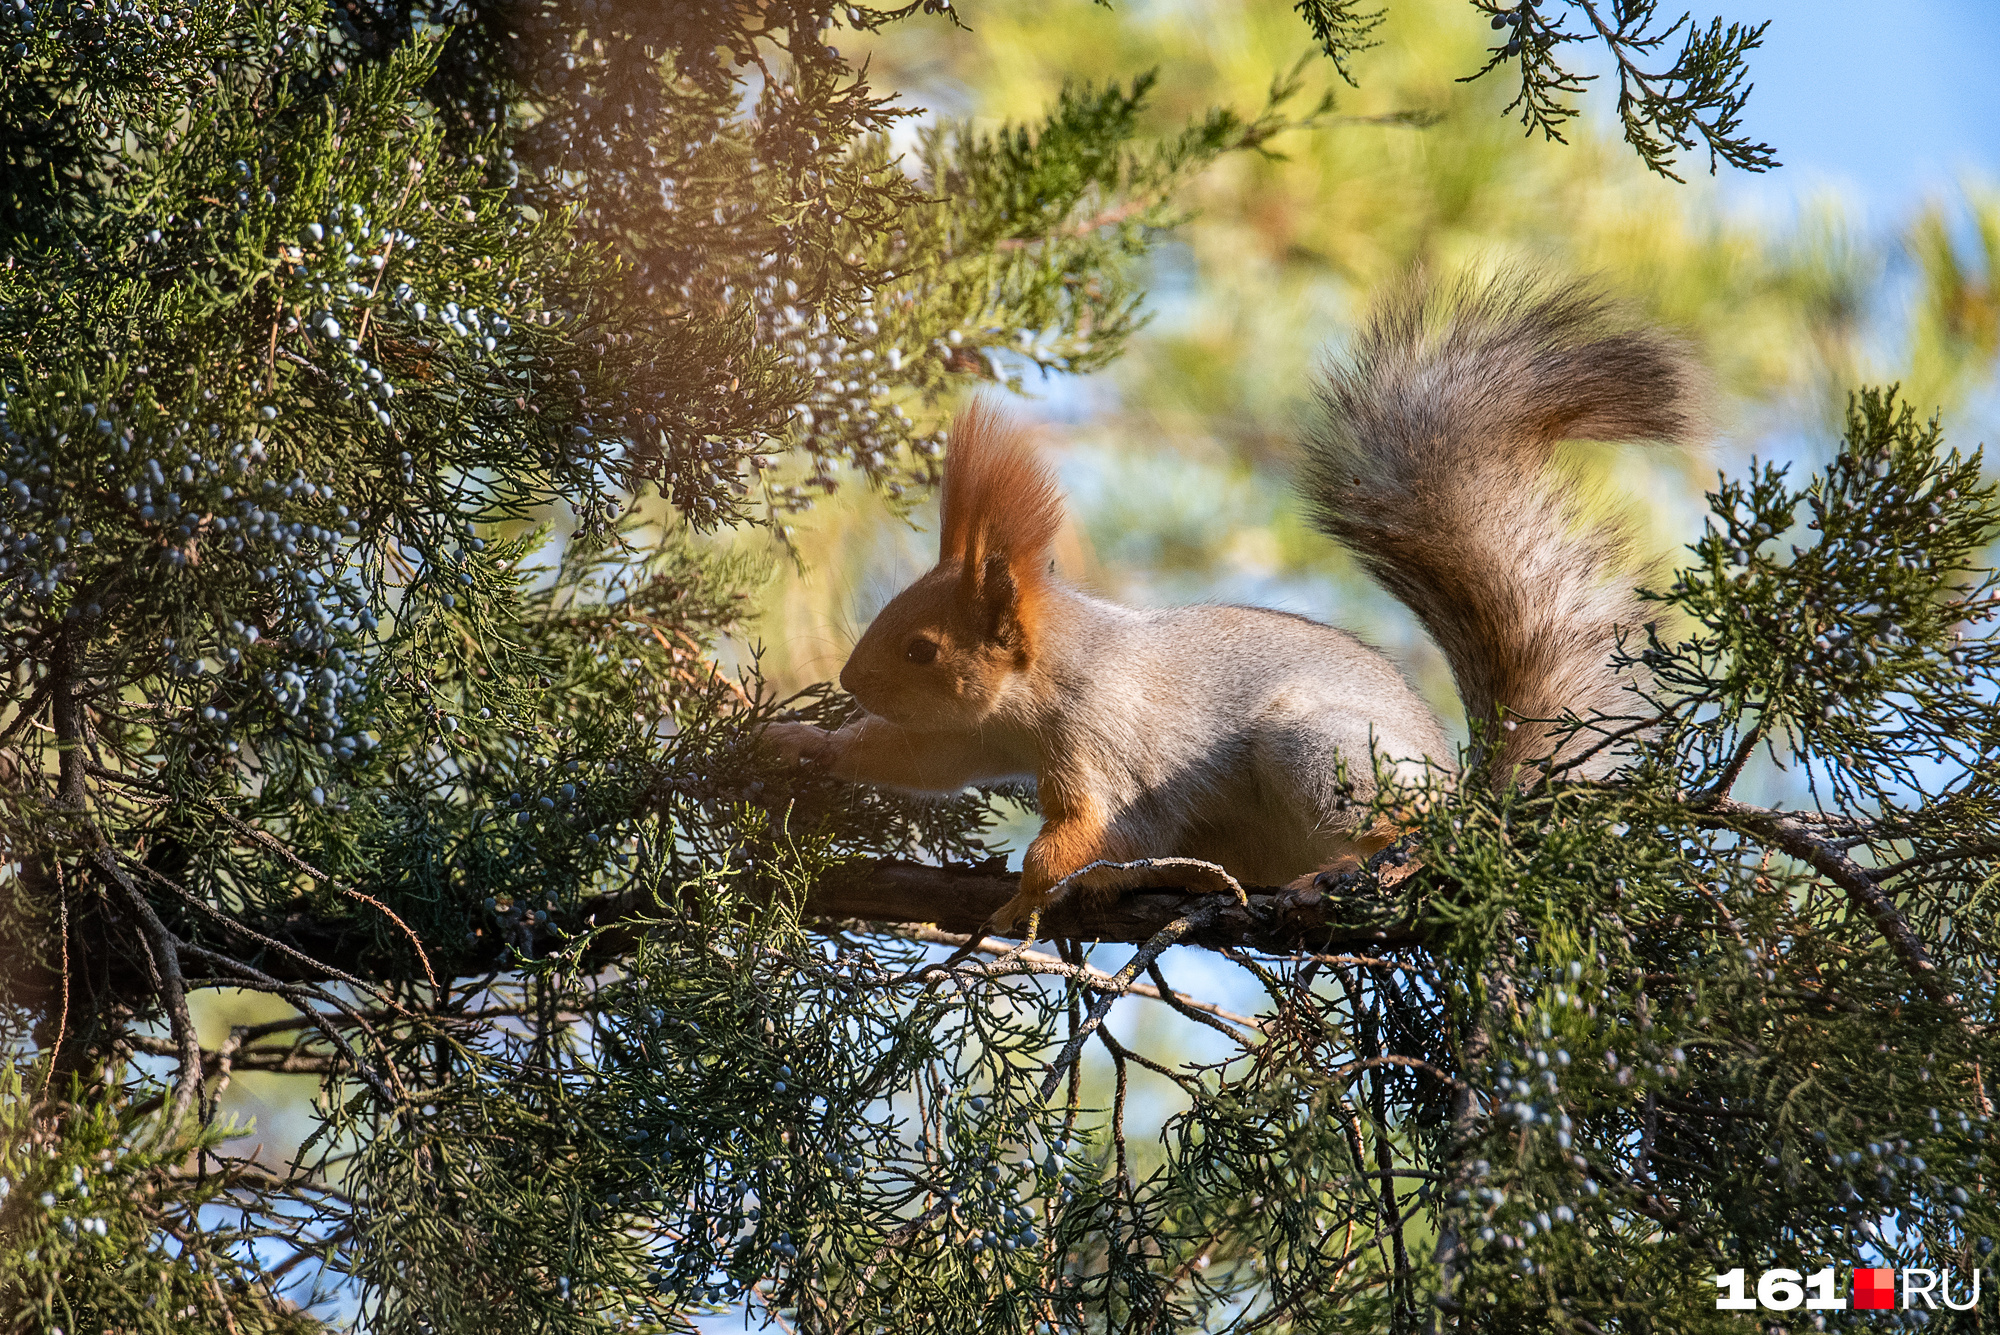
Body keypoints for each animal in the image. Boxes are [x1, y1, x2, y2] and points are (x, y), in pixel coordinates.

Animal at [760, 275, 1704, 935]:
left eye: (920, 647)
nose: (849, 681)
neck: (1049, 673)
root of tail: (1472, 807)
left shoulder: (1102, 735)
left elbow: (1083, 827)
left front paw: (1021, 899)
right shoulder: (979, 730)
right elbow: (917, 756)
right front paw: (804, 745)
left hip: (1321, 751)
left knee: (1401, 832)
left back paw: (1349, 867)